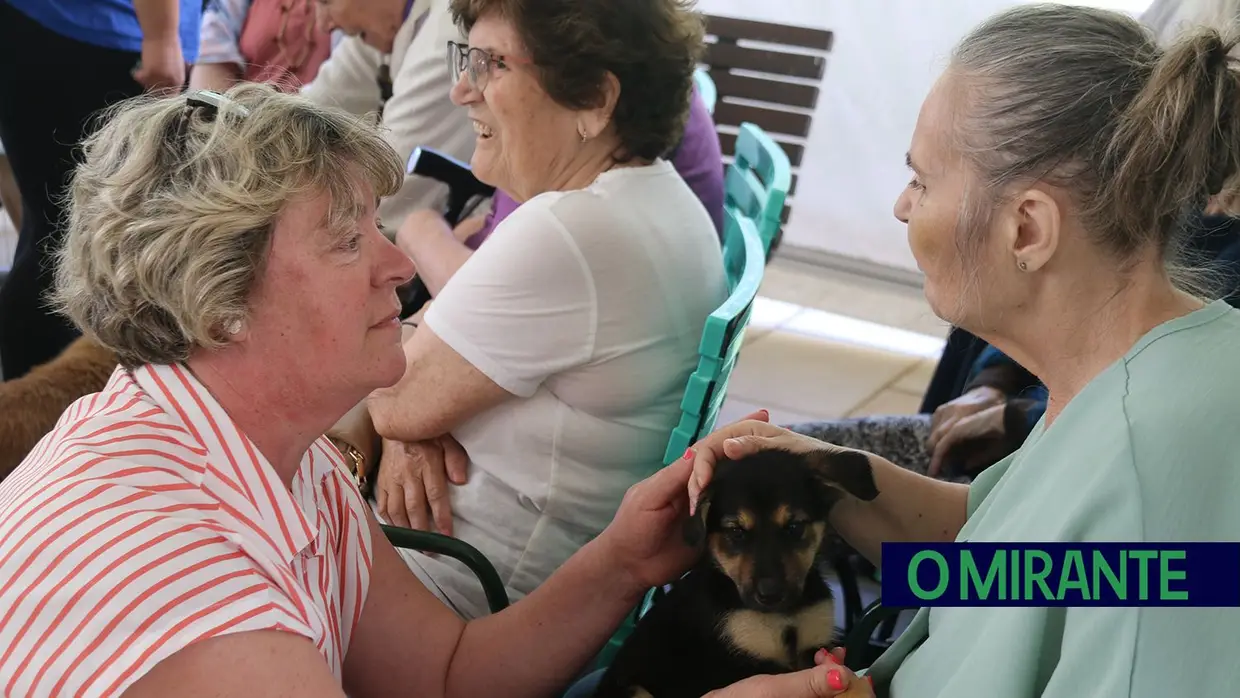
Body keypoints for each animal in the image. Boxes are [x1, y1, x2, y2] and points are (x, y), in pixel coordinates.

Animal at [592, 448, 877, 698]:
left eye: (794, 527)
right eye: (736, 531)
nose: (770, 594)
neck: (783, 615)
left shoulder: (817, 645)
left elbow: (847, 678)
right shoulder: (741, 662)